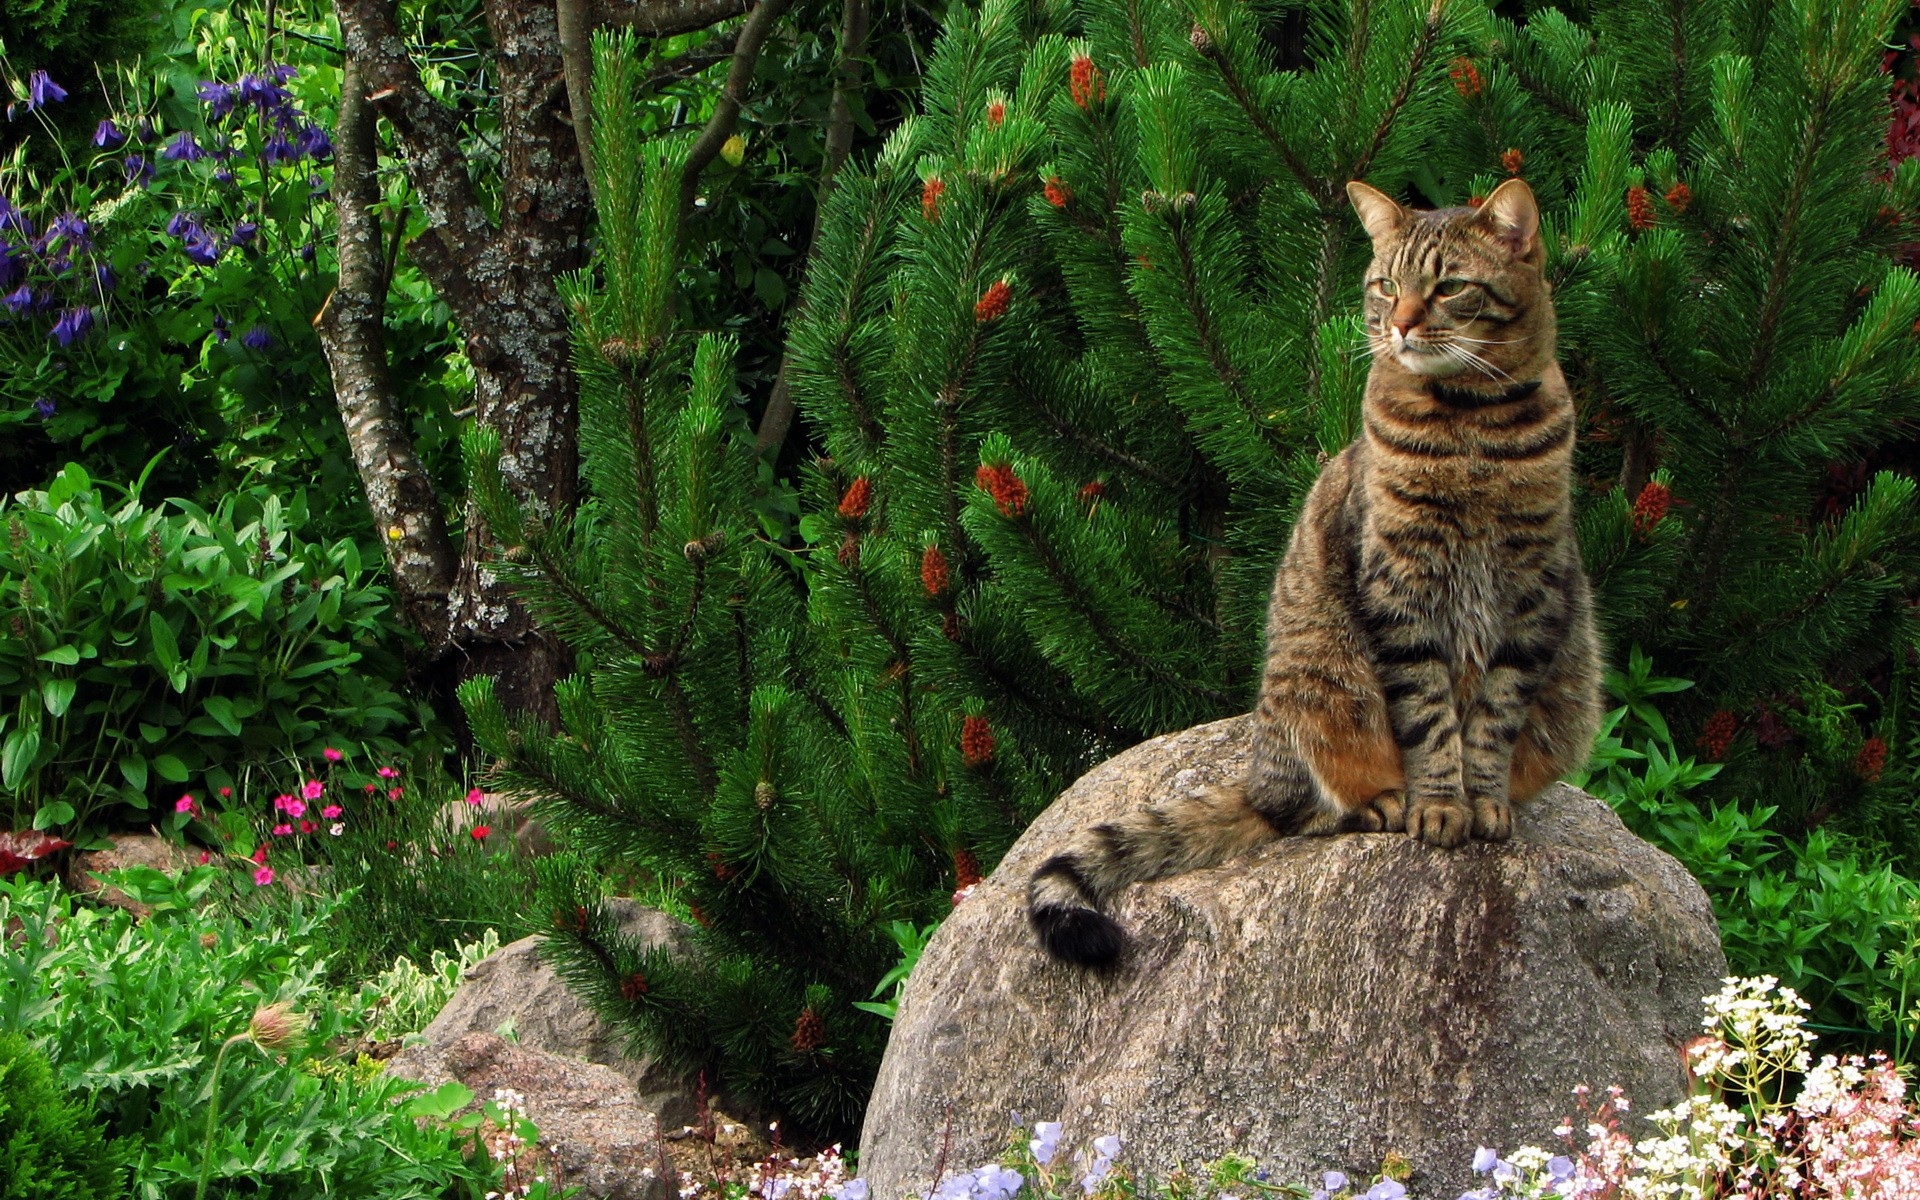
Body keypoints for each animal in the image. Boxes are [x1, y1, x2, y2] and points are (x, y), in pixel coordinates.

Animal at [1036, 175, 1605, 963]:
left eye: (1450, 287)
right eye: (1386, 285)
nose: (1400, 325)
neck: (1471, 426)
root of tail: (1258, 778)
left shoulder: (1535, 594)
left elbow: (1492, 716)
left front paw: (1483, 800)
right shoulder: (1398, 589)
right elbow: (1430, 717)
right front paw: (1439, 805)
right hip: (1323, 686)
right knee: (1313, 807)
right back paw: (1383, 801)